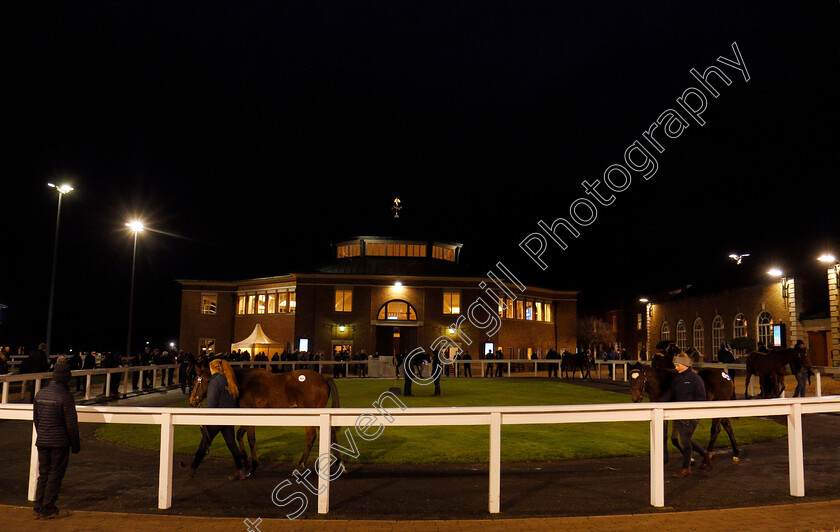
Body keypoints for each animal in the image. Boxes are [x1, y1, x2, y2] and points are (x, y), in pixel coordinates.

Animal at [192, 366, 342, 474]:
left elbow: (251, 439)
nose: (192, 400)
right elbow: (239, 435)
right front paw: (245, 460)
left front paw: (253, 465)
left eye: (197, 381)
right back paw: (339, 463)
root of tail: (323, 377)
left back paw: (300, 465)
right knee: (331, 433)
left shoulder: (249, 413)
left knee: (311, 436)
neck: (240, 383)